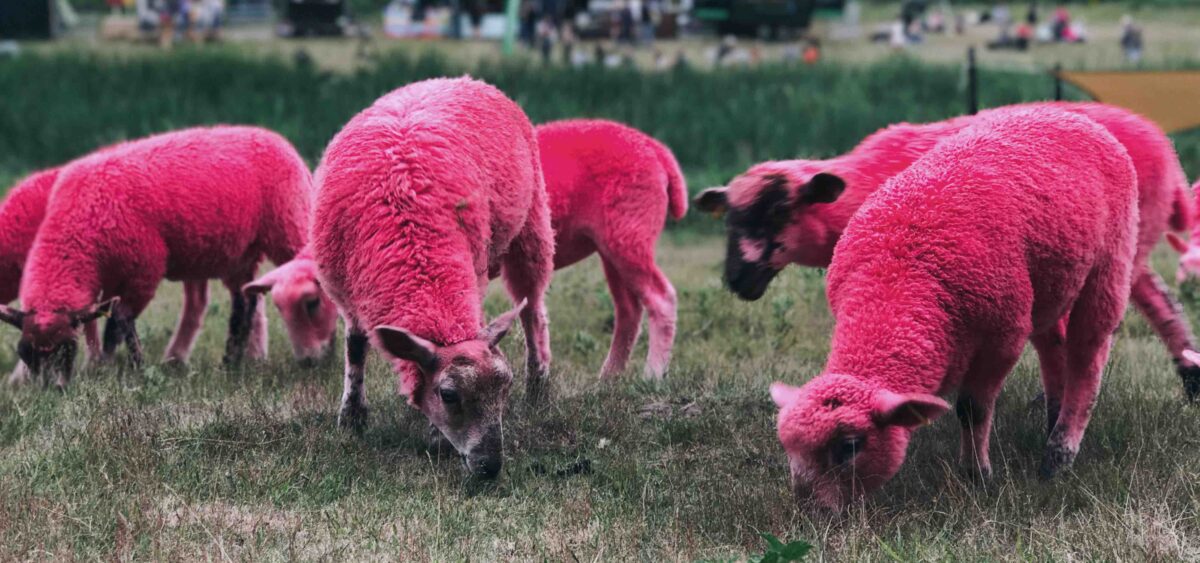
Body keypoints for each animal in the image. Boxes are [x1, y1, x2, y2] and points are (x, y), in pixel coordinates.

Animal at [0, 124, 314, 386]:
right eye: (26, 353)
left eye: (66, 349)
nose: (49, 389)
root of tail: (277, 139)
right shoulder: (109, 277)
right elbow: (106, 321)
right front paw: (104, 365)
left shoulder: (145, 268)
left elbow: (119, 321)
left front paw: (129, 367)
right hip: (239, 253)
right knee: (245, 301)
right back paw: (230, 363)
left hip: (288, 225)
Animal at [309, 76, 552, 475]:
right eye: (448, 395)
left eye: (505, 387)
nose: (490, 466)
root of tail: (462, 78)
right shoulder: (347, 291)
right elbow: (355, 346)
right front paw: (352, 417)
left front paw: (435, 437)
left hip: (532, 225)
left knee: (533, 310)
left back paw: (539, 386)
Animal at [696, 103, 1200, 396]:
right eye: (730, 218)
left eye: (781, 210)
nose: (737, 279)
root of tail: (1169, 155)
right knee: (1160, 300)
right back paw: (1189, 376)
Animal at [763, 106, 1137, 508]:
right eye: (787, 446)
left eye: (849, 446)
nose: (809, 510)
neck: (897, 279)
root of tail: (1066, 113)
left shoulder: (1003, 337)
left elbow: (972, 407)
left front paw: (977, 475)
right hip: (1046, 286)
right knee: (1054, 346)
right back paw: (1052, 421)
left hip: (1109, 260)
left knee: (1088, 353)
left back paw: (1058, 454)